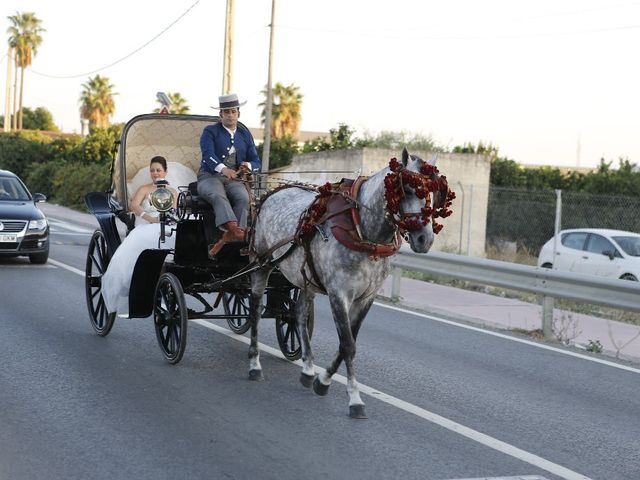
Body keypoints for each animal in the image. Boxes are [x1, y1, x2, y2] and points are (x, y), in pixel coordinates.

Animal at [248, 148, 452, 418]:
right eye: (406, 189)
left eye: (431, 194)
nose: (424, 239)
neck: (362, 231)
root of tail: (269, 195)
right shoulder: (339, 294)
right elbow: (348, 345)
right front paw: (354, 398)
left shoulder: (366, 298)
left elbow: (348, 341)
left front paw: (322, 380)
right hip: (262, 264)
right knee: (255, 309)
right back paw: (254, 364)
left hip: (305, 278)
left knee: (299, 314)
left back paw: (308, 369)